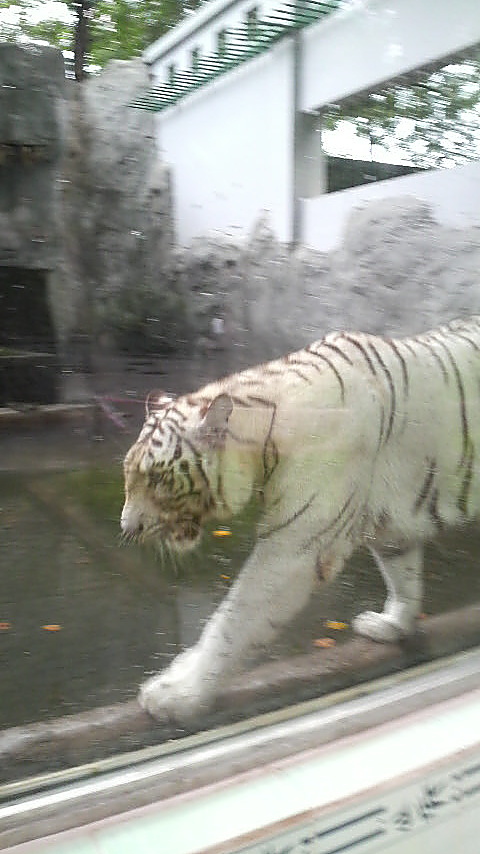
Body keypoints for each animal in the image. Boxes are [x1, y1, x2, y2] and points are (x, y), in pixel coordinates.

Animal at [122, 318, 480, 724]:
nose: (127, 528)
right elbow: (403, 578)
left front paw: (179, 694)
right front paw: (392, 627)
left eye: (156, 478)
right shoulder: (390, 528)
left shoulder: (295, 548)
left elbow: (233, 620)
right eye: (127, 474)